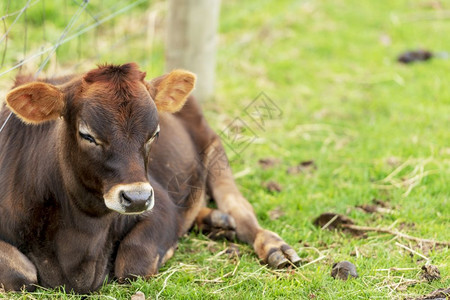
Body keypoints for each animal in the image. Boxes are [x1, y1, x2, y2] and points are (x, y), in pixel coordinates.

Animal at [0, 62, 298, 292]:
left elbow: (134, 262)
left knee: (239, 207)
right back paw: (215, 221)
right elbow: (20, 274)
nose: (137, 198)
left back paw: (274, 246)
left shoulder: (162, 205)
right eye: (87, 135)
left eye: (154, 133)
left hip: (214, 149)